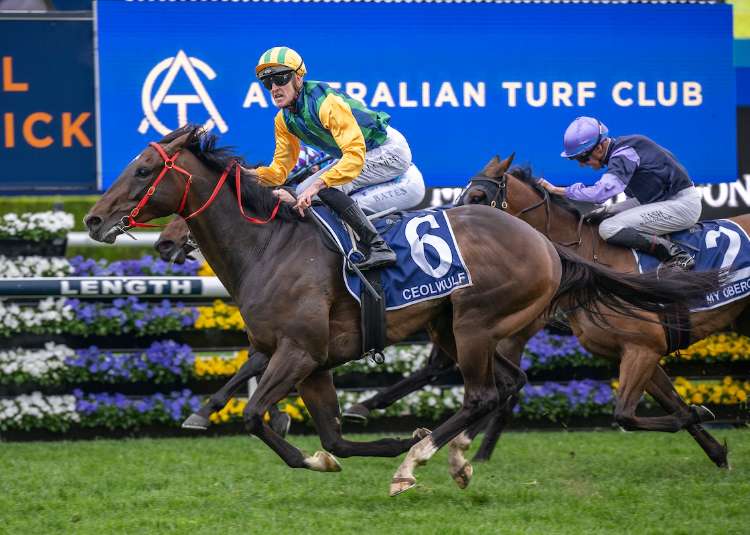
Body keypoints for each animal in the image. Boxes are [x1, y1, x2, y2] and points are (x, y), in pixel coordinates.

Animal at [456, 155, 744, 467]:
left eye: (477, 196)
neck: (593, 259)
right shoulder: (634, 351)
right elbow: (669, 404)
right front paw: (715, 447)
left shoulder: (643, 348)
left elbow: (625, 415)